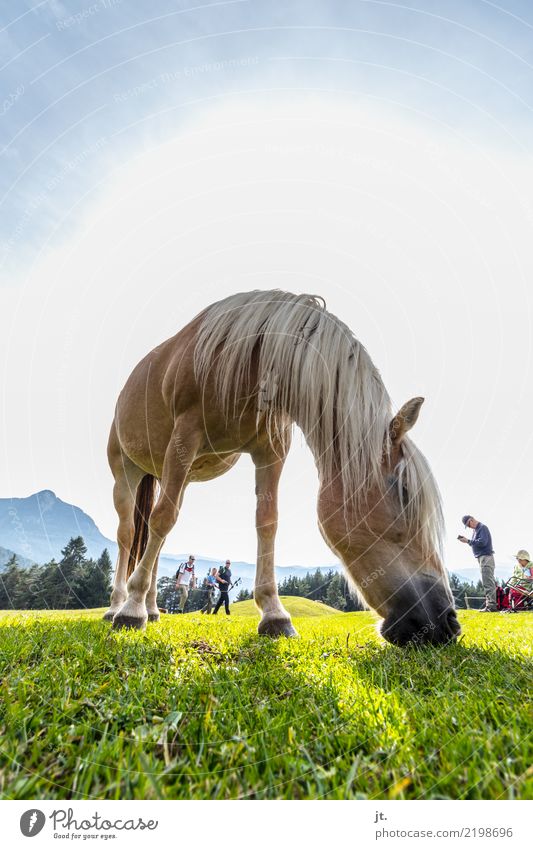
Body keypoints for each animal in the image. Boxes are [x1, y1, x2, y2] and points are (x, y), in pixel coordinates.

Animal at [104, 288, 458, 644]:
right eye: (404, 492)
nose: (446, 622)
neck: (249, 357)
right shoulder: (184, 437)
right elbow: (162, 519)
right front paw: (131, 610)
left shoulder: (271, 450)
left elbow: (267, 522)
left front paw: (274, 614)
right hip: (126, 471)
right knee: (128, 533)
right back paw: (119, 605)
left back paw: (152, 609)